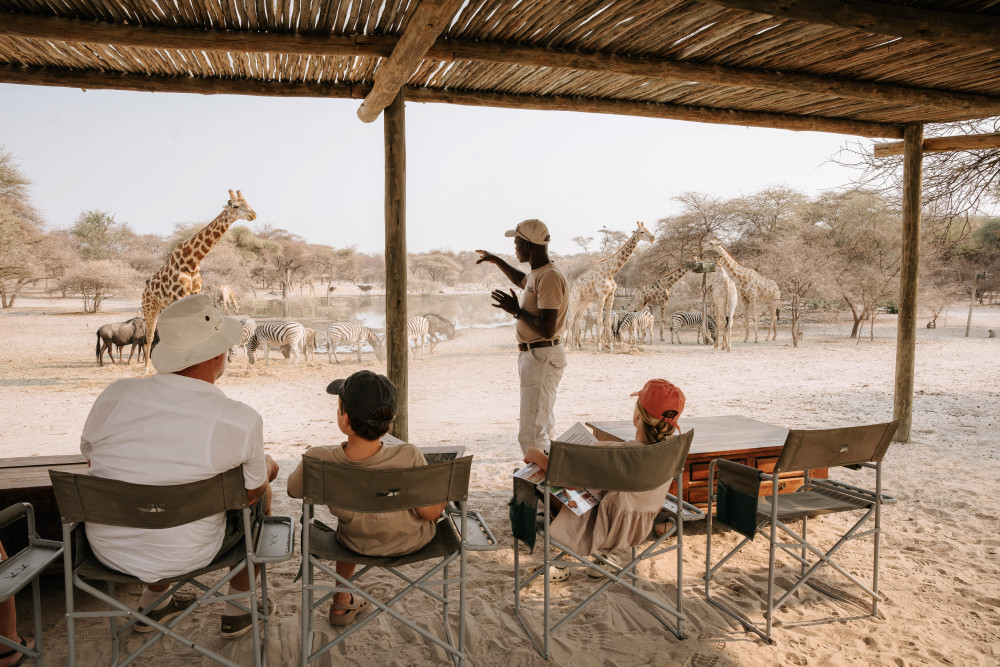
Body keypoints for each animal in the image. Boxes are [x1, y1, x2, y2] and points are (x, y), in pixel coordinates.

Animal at [140, 190, 257, 373]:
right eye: (236, 206)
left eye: (248, 202)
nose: (254, 214)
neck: (192, 262)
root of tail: (145, 289)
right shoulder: (178, 297)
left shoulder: (195, 295)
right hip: (149, 307)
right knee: (150, 334)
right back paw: (145, 368)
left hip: (162, 307)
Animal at [567, 222, 655, 352]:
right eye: (642, 231)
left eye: (648, 229)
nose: (653, 238)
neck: (610, 272)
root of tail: (573, 285)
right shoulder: (601, 296)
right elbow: (599, 321)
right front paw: (599, 347)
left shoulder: (611, 296)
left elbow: (608, 322)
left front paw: (611, 346)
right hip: (575, 299)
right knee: (571, 319)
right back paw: (567, 346)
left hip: (584, 301)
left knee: (577, 320)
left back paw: (576, 345)